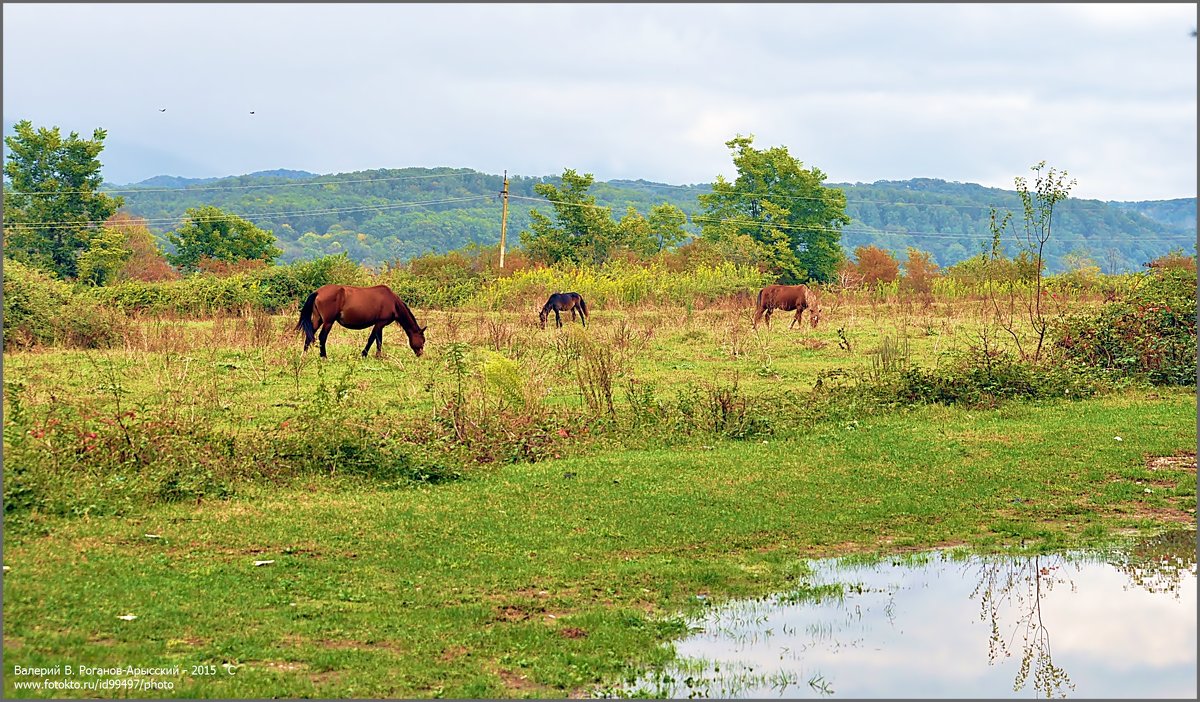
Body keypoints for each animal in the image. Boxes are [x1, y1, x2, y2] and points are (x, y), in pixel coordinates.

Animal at [295, 284, 427, 357]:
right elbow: (372, 339)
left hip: (318, 320)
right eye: (423, 340)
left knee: (309, 335)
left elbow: (379, 340)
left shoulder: (380, 324)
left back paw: (304, 355)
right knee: (322, 337)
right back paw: (324, 356)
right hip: (328, 322)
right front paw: (364, 354)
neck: (392, 302)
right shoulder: (380, 323)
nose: (420, 354)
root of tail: (318, 292)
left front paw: (378, 356)